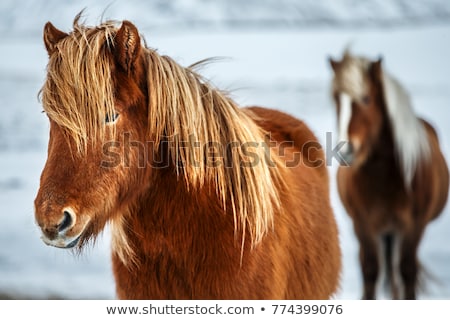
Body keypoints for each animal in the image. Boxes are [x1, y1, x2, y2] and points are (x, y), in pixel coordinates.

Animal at [328, 51, 448, 298]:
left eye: (366, 98)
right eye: (336, 98)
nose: (346, 151)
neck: (383, 179)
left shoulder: (414, 226)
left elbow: (407, 269)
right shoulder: (362, 224)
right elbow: (370, 269)